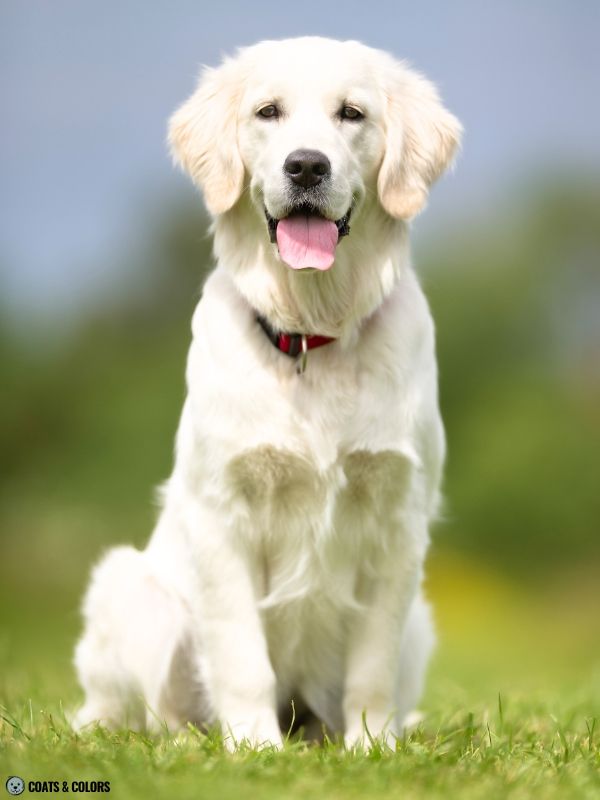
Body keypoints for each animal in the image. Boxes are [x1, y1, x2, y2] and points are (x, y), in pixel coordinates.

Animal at [74, 37, 460, 752]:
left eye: (352, 113)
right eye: (268, 111)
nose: (306, 165)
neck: (313, 336)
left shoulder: (397, 519)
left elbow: (372, 664)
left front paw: (372, 746)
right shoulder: (222, 512)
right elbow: (239, 653)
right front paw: (251, 746)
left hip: (421, 619)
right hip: (131, 590)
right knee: (141, 713)